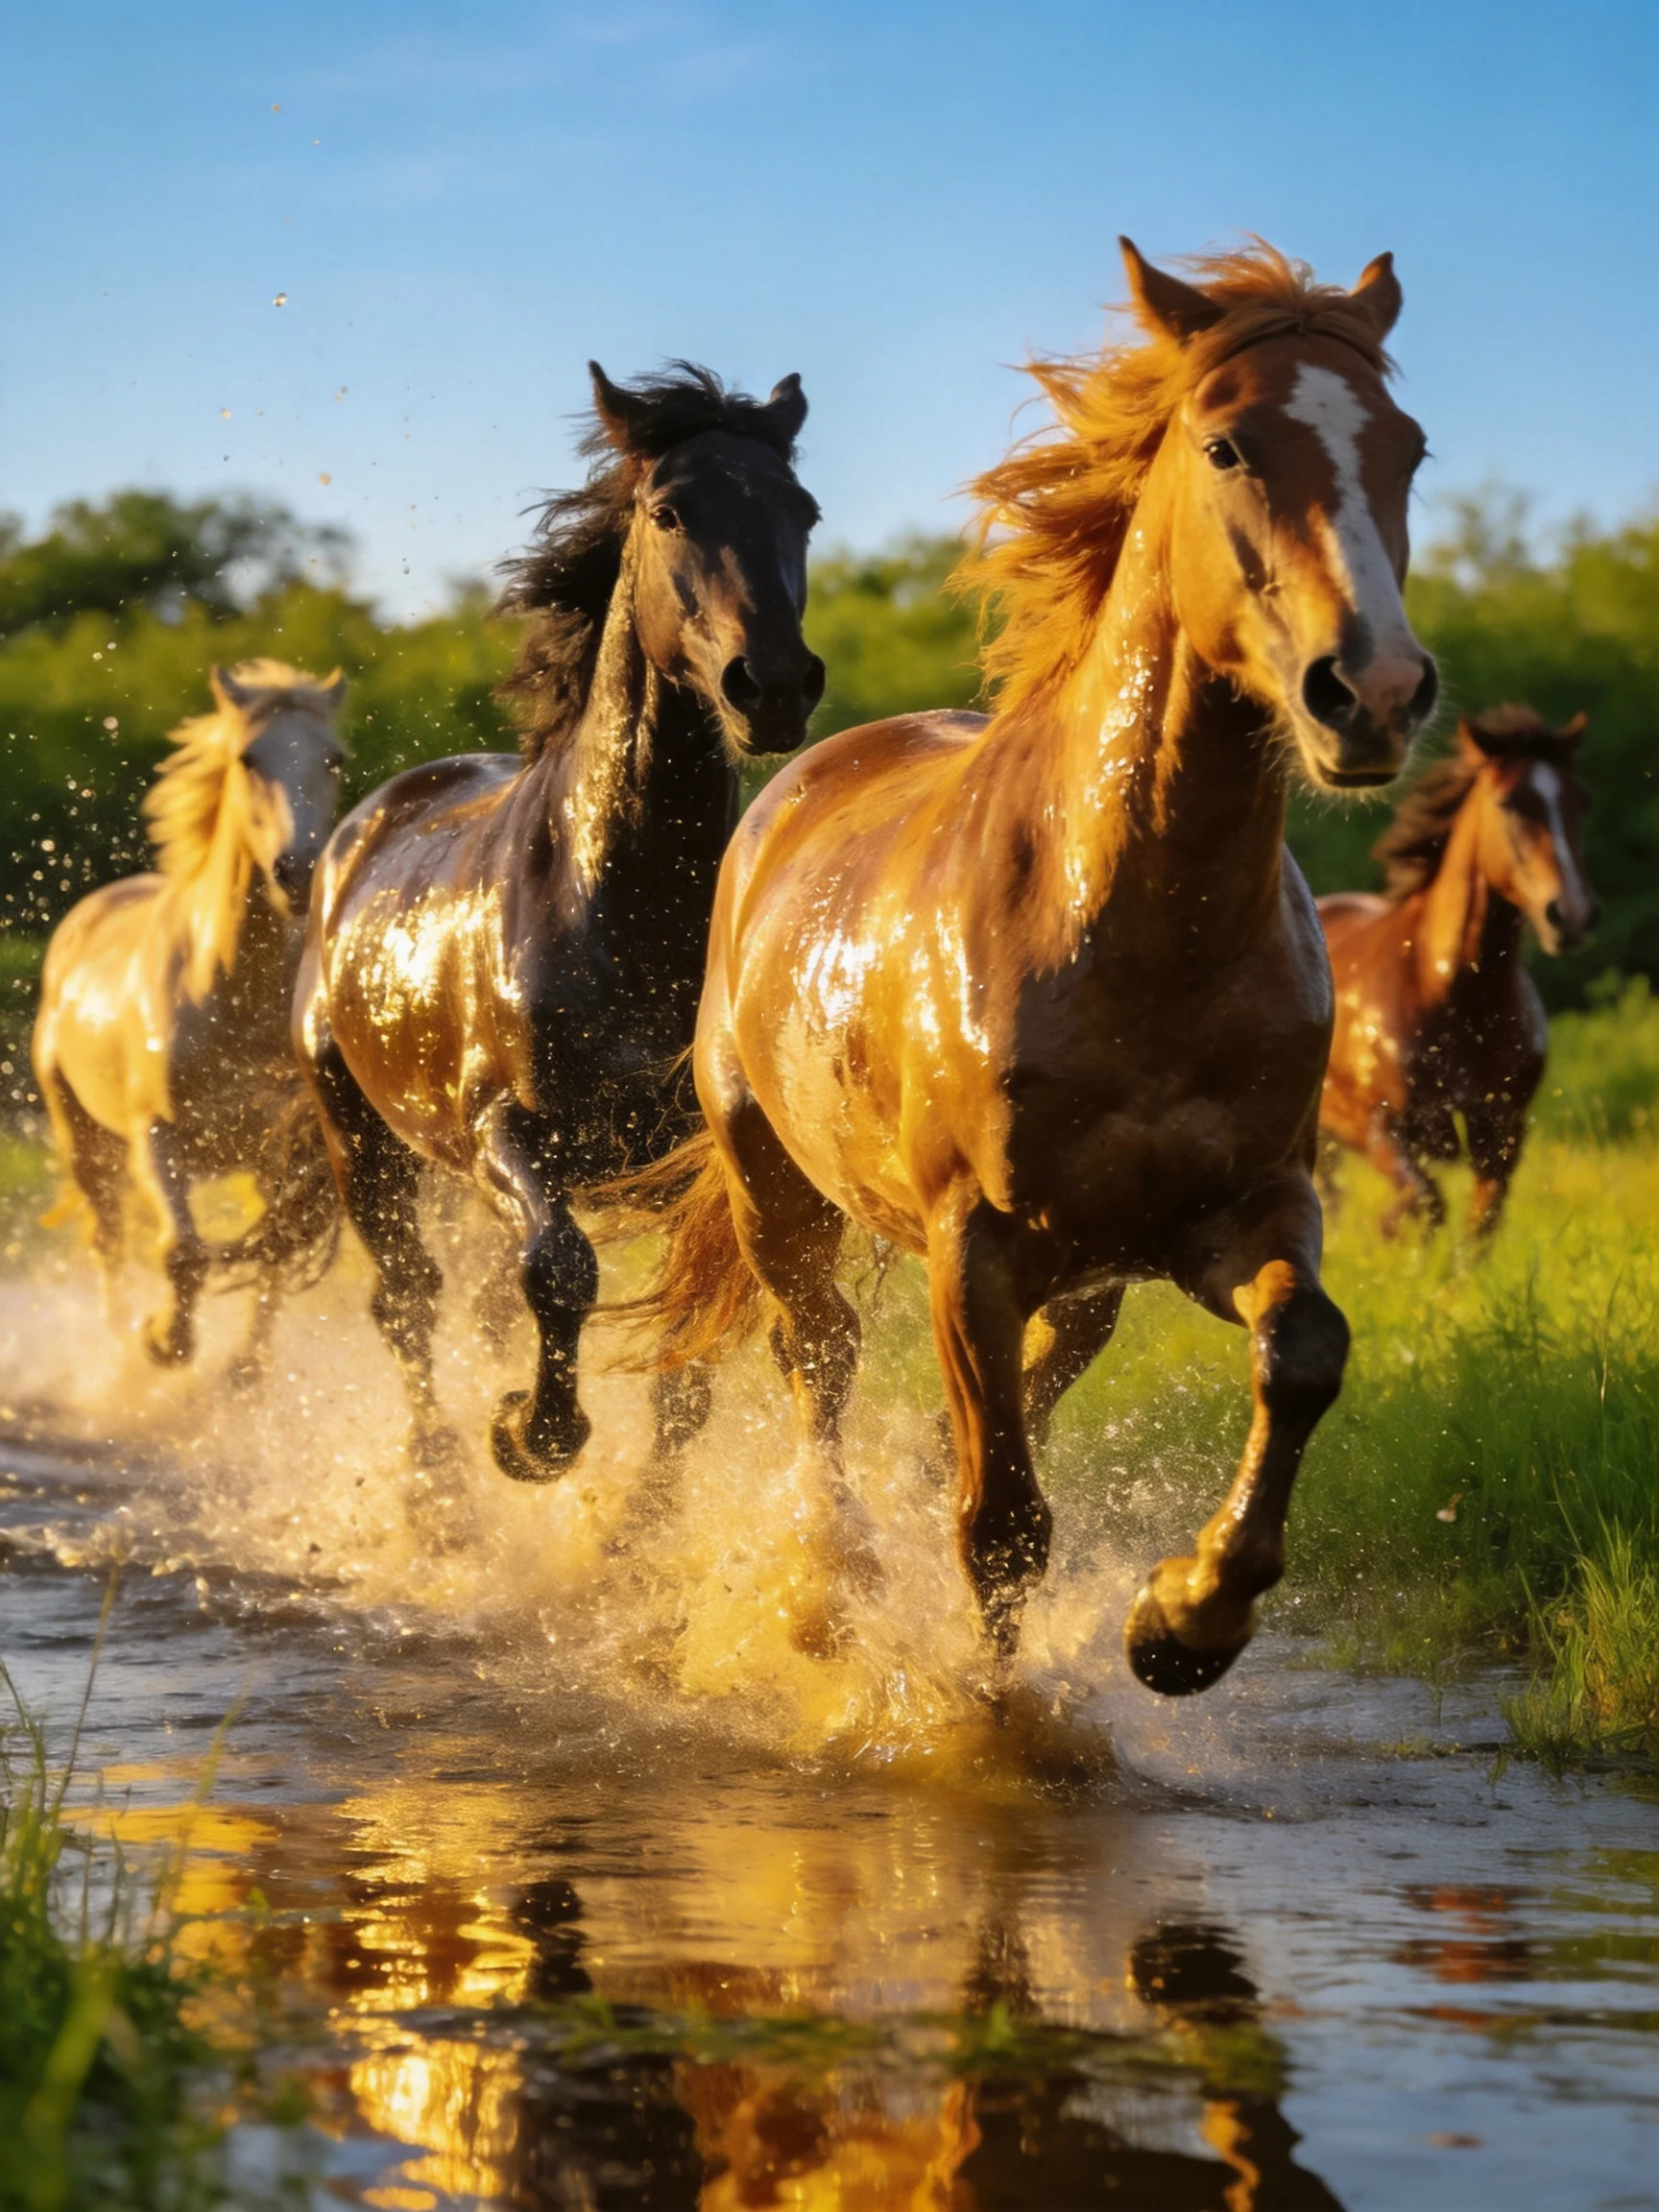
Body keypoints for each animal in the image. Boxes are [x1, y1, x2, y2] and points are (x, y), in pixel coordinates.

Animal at [33, 661, 347, 1376]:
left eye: (334, 760)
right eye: (248, 757)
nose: (299, 872)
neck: (234, 997)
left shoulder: (281, 1151)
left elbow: (273, 1255)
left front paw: (244, 1373)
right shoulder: (158, 1138)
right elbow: (180, 1250)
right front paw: (163, 1343)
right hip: (85, 1141)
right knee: (109, 1243)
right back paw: (123, 1350)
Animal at [296, 362, 822, 1482]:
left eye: (802, 511)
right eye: (669, 512)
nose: (775, 684)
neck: (615, 906)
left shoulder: (699, 1165)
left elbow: (684, 1354)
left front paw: (632, 1510)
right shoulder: (503, 1128)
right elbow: (561, 1269)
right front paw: (529, 1435)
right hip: (361, 1138)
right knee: (408, 1302)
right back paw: (440, 1485)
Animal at [625, 239, 1438, 1693]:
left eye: (1407, 447)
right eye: (1228, 444)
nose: (1378, 691)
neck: (1136, 925)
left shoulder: (1246, 1211)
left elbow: (1304, 1352)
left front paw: (1183, 1621)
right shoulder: (975, 1250)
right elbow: (1000, 1522)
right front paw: (993, 1711)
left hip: (1092, 1277)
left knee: (1032, 1387)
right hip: (775, 1181)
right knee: (817, 1355)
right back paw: (829, 1582)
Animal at [1317, 706, 1595, 1241]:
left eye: (1581, 801)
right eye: (1508, 802)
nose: (1571, 914)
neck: (1457, 997)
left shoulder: (1501, 1133)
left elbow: (1477, 1226)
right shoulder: (1381, 1129)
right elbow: (1426, 1202)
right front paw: (1392, 1233)